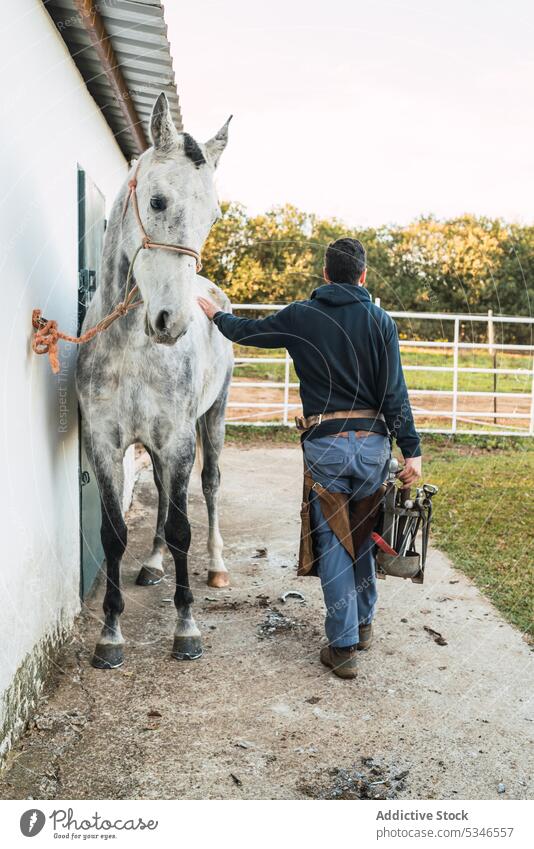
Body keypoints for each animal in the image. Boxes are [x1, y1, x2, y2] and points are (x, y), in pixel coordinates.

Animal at [77, 93, 234, 668]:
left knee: (208, 488)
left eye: (213, 215)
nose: (172, 321)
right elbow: (114, 532)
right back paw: (153, 563)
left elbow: (185, 525)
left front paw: (187, 628)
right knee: (167, 496)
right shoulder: (105, 443)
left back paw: (215, 567)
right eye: (159, 201)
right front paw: (110, 635)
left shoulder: (178, 439)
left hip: (213, 418)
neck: (132, 350)